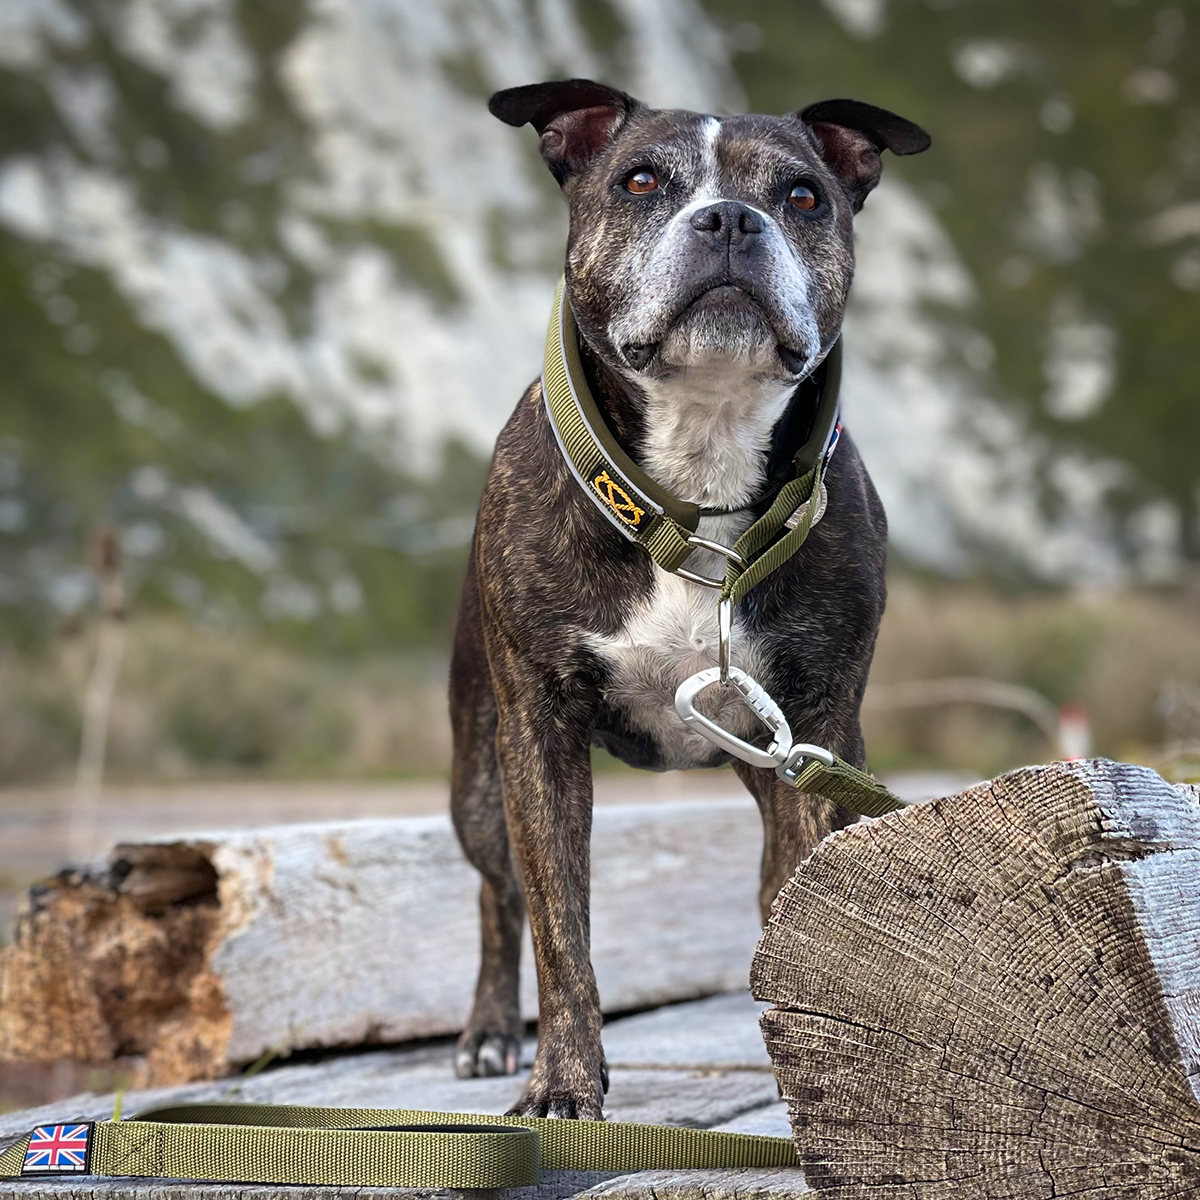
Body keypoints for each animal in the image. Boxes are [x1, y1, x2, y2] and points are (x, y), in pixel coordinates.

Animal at [451, 79, 926, 1118]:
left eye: (802, 196)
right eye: (639, 181)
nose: (731, 219)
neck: (700, 473)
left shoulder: (817, 727)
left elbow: (801, 898)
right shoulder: (537, 733)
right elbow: (562, 929)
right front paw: (562, 1085)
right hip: (478, 774)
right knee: (498, 895)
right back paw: (489, 1032)